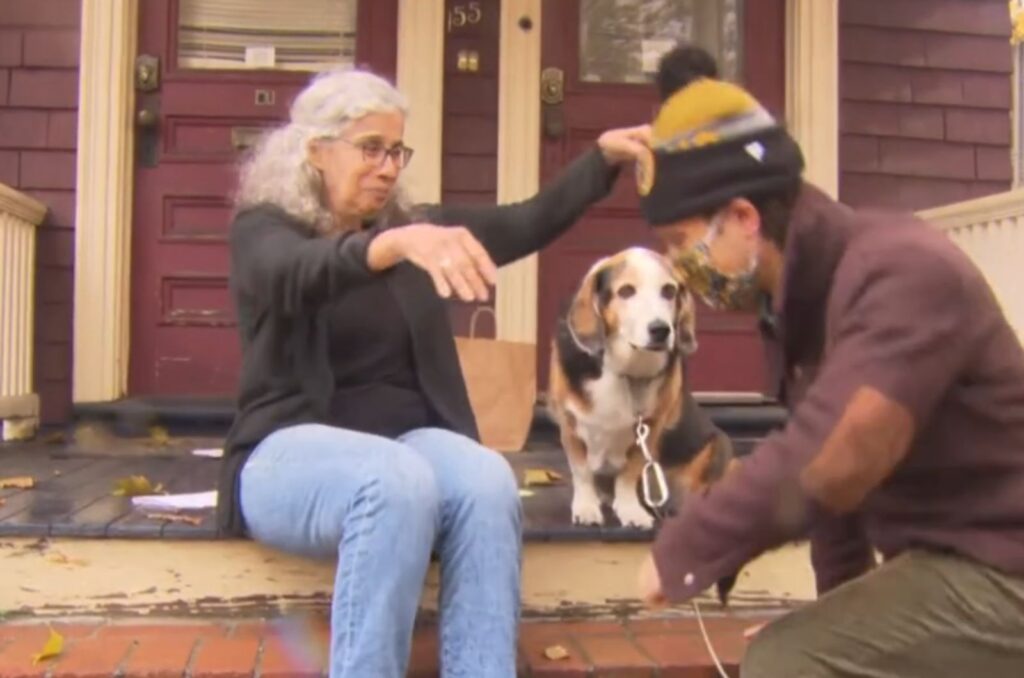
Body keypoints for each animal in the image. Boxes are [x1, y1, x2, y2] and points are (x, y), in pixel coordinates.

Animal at [548, 246, 733, 528]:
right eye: (626, 291)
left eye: (669, 291)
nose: (660, 330)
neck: (626, 370)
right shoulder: (571, 426)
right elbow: (582, 474)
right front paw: (587, 507)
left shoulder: (648, 429)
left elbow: (629, 474)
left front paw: (630, 511)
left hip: (719, 446)